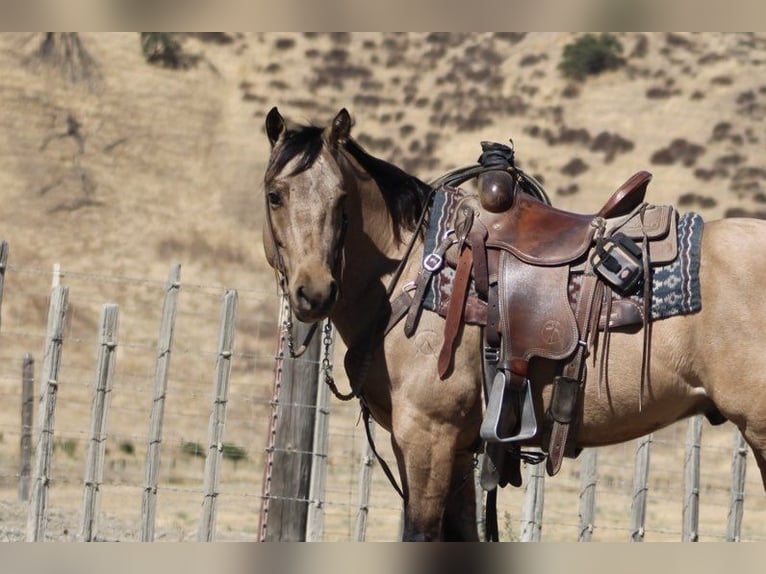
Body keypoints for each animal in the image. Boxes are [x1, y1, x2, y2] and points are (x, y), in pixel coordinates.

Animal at [260, 106, 766, 544]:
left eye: (342, 198)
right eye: (275, 194)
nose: (314, 292)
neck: (411, 272)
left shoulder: (427, 435)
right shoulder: (458, 448)